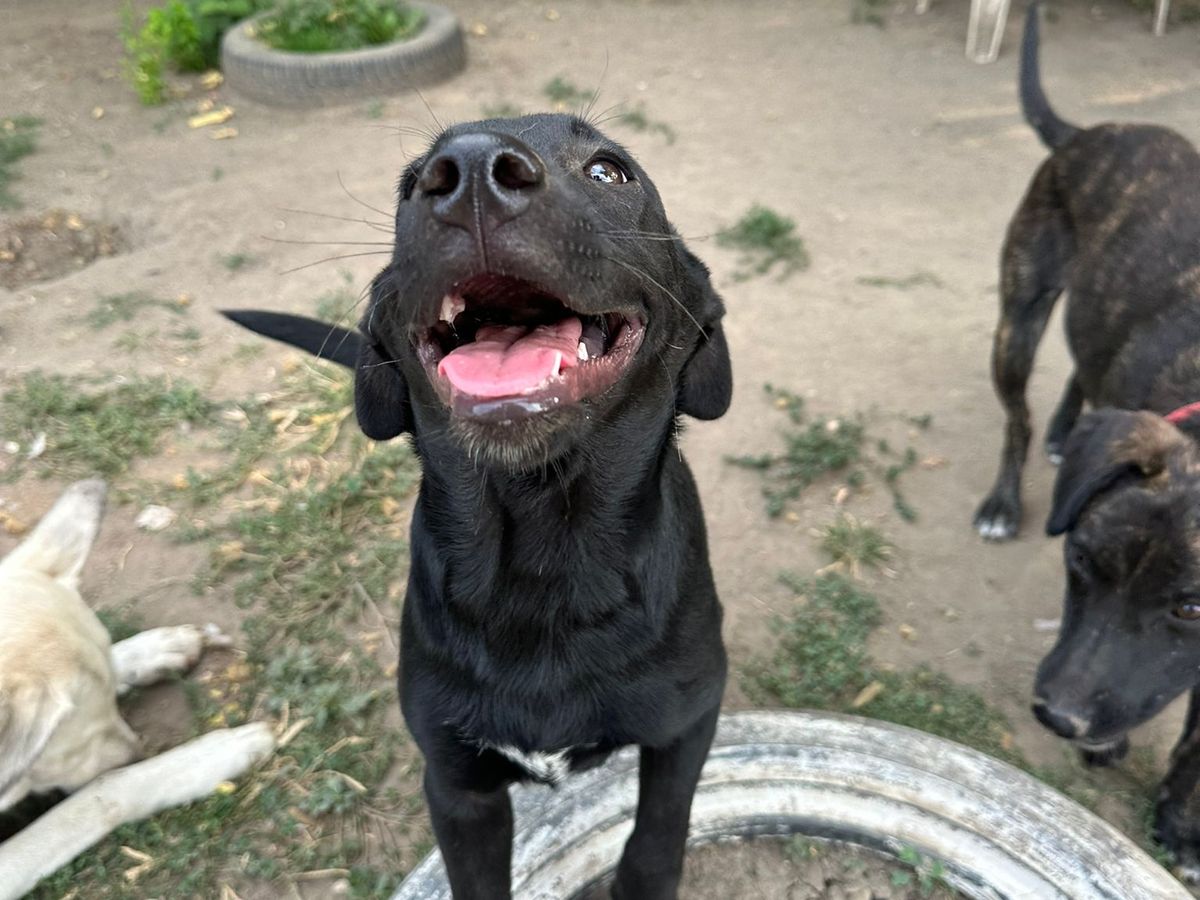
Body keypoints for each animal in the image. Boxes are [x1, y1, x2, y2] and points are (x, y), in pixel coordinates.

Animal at [226, 112, 733, 898]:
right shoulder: (457, 784)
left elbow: (658, 833)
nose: (465, 173)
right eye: (408, 183)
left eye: (609, 171)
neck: (544, 559)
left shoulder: (688, 724)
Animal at [974, 6, 1200, 871]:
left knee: (1082, 368)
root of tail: (1098, 129)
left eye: (1192, 607)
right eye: (1079, 563)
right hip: (1021, 312)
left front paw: (1180, 825)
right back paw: (1005, 498)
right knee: (1016, 416)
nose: (1059, 718)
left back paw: (1071, 431)